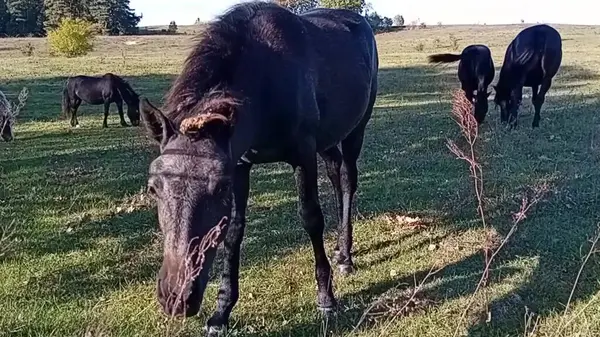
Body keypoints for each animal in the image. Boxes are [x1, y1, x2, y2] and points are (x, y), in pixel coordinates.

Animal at [138, 1, 378, 334]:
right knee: (335, 173)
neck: (266, 80)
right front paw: (221, 312)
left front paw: (326, 297)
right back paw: (341, 253)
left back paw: (346, 257)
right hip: (329, 140)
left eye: (220, 187)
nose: (176, 297)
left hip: (356, 130)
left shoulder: (303, 155)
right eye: (153, 187)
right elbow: (234, 231)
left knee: (347, 180)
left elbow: (311, 218)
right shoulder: (241, 164)